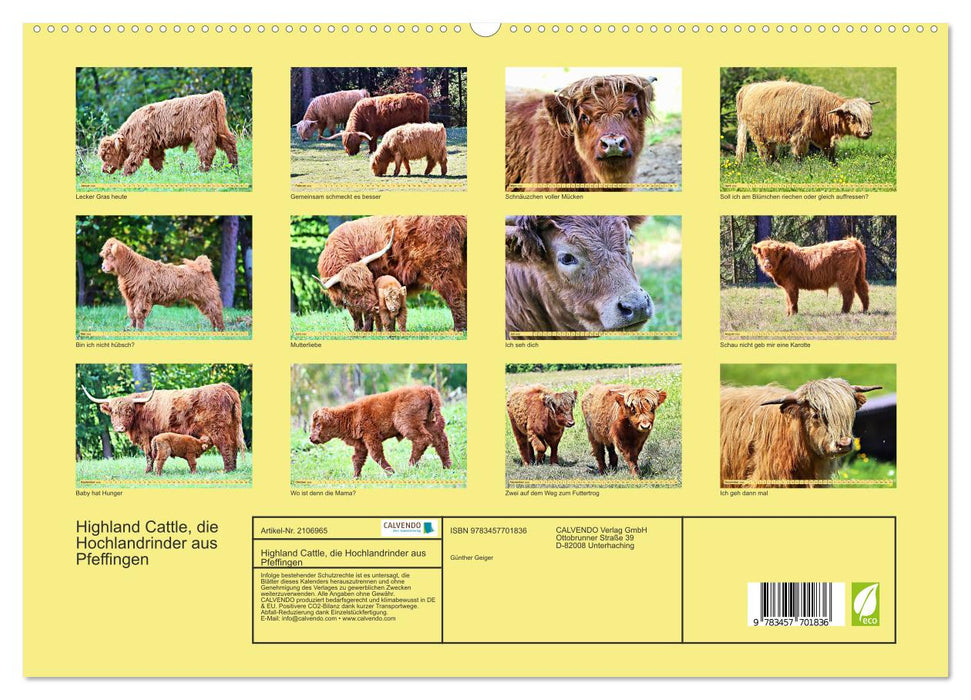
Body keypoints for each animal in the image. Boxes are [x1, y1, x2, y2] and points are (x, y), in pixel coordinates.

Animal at [81, 382, 246, 473]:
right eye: (114, 412)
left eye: (129, 412)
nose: (120, 428)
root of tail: (224, 387)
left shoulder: (147, 437)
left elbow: (149, 455)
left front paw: (148, 472)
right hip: (231, 427)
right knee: (233, 447)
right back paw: (233, 468)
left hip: (218, 429)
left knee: (226, 447)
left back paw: (227, 470)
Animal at [98, 91, 239, 175]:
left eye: (108, 155)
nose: (104, 170)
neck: (129, 133)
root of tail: (211, 95)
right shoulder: (154, 148)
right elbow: (156, 162)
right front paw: (159, 174)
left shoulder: (140, 146)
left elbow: (131, 161)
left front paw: (125, 175)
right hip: (219, 131)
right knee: (230, 144)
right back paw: (234, 166)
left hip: (203, 133)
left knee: (207, 151)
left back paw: (201, 170)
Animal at [309, 385, 451, 478]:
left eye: (318, 424)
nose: (311, 438)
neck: (351, 414)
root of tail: (426, 389)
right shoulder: (361, 444)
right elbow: (357, 459)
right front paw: (355, 477)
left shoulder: (371, 436)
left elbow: (376, 455)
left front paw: (391, 473)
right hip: (428, 422)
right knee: (440, 440)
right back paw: (447, 466)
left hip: (406, 423)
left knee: (422, 439)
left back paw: (410, 466)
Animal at [316, 216, 467, 332]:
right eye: (355, 291)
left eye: (369, 283)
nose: (375, 306)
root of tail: (457, 219)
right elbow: (357, 313)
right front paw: (360, 329)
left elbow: (361, 313)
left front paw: (364, 330)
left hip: (442, 269)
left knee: (455, 296)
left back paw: (458, 329)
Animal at [735, 80, 879, 164]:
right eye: (853, 117)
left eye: (869, 117)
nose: (867, 132)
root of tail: (749, 87)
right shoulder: (800, 136)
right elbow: (799, 155)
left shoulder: (824, 137)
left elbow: (830, 153)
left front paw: (834, 165)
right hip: (757, 132)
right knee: (764, 151)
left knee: (771, 150)